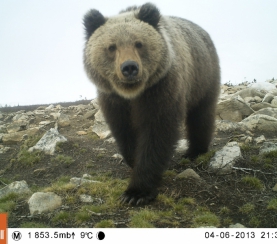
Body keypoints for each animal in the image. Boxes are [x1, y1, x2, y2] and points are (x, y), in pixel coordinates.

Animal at [83, 2, 219, 205]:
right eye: (112, 46)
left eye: (139, 43)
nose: (129, 67)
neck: (134, 94)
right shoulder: (115, 100)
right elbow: (124, 131)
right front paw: (132, 161)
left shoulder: (160, 90)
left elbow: (157, 134)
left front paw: (136, 192)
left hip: (203, 78)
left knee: (201, 115)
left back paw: (195, 151)